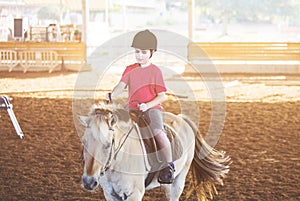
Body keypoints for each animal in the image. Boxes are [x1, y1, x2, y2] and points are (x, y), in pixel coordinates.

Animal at [78, 103, 230, 201]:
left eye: (108, 145)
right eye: (84, 142)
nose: (88, 182)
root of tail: (182, 119)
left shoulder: (135, 194)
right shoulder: (110, 194)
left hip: (180, 177)